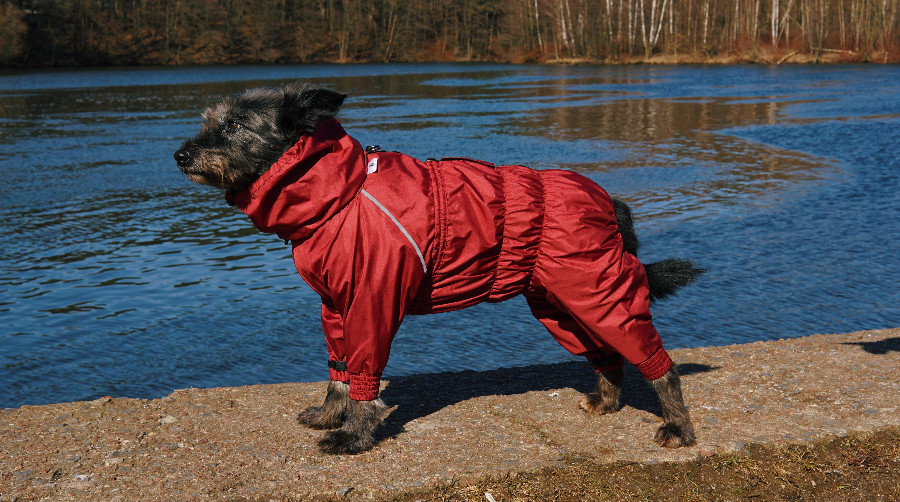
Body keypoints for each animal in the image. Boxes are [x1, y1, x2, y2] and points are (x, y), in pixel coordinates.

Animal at [176, 80, 708, 452]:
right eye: (208, 121)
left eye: (234, 126)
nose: (180, 154)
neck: (339, 193)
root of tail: (609, 199)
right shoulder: (335, 308)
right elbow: (339, 370)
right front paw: (332, 414)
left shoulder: (371, 303)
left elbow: (364, 377)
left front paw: (354, 436)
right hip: (562, 303)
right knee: (607, 352)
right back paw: (607, 401)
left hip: (598, 291)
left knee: (660, 365)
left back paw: (678, 427)